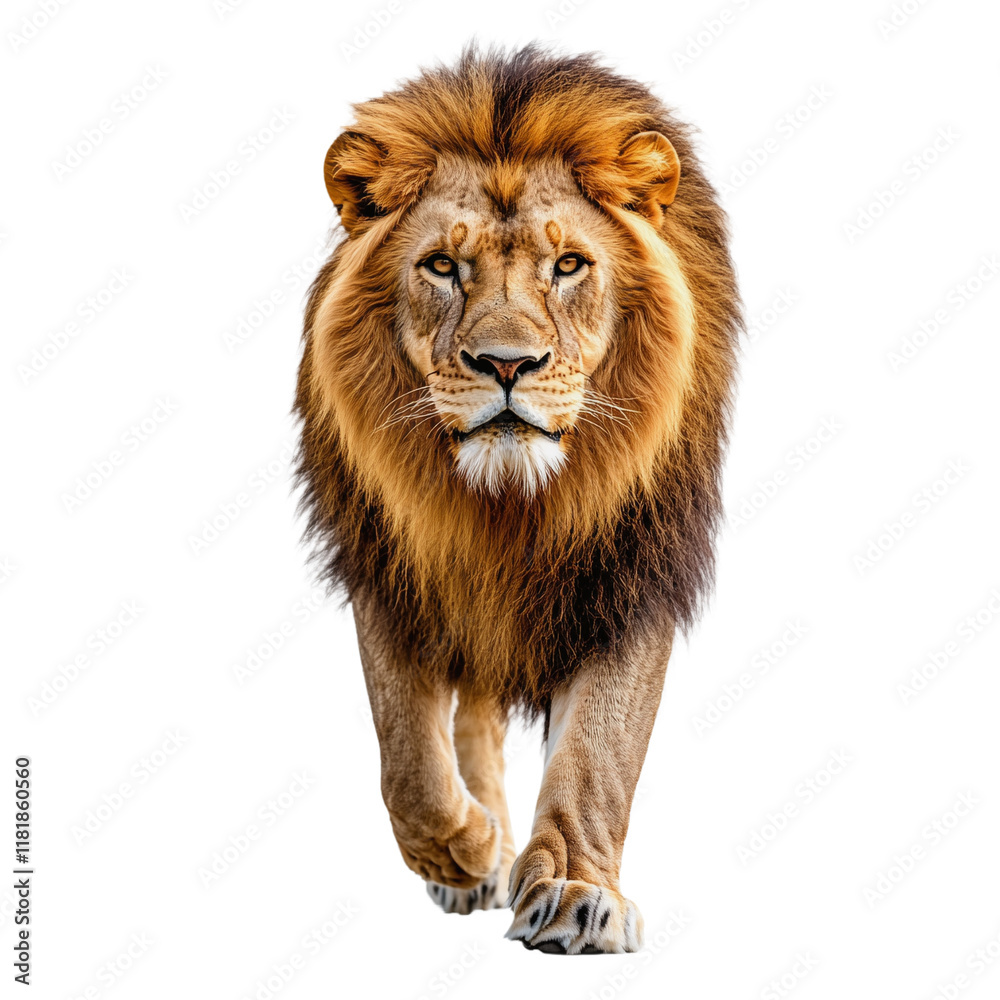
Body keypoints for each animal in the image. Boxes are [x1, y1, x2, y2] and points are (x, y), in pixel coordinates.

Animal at [294, 45, 740, 954]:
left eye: (568, 265)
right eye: (441, 265)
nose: (507, 364)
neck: (507, 507)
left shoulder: (635, 570)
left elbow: (600, 751)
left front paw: (574, 891)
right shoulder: (390, 564)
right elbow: (407, 752)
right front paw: (464, 850)